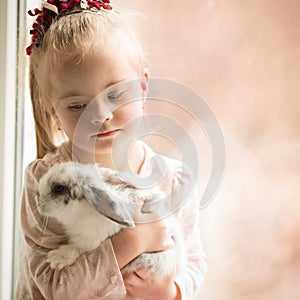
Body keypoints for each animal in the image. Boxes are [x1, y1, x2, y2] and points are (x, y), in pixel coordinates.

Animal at [35, 163, 185, 278]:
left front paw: (56, 258)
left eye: (58, 188)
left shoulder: (90, 239)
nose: (36, 196)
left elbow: (77, 247)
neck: (84, 209)